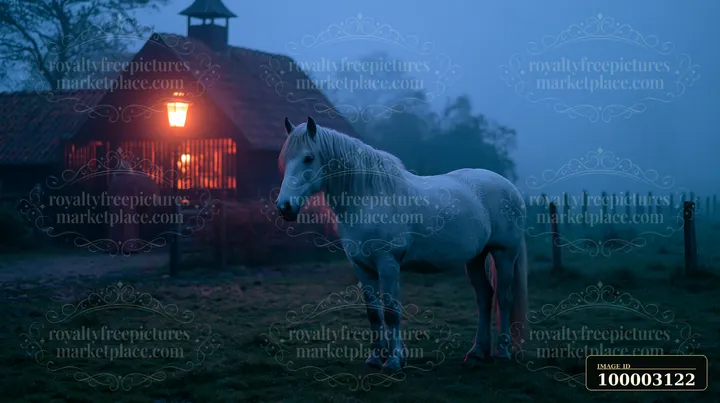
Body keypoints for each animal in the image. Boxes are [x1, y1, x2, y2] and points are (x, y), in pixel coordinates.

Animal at [275, 116, 528, 372]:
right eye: (285, 158)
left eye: (308, 158)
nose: (285, 207)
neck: (369, 199)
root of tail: (510, 188)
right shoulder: (362, 267)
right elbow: (374, 314)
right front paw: (376, 358)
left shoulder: (388, 264)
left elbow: (391, 312)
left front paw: (394, 360)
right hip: (475, 258)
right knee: (484, 297)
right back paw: (476, 352)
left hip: (504, 254)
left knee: (503, 297)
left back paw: (502, 351)